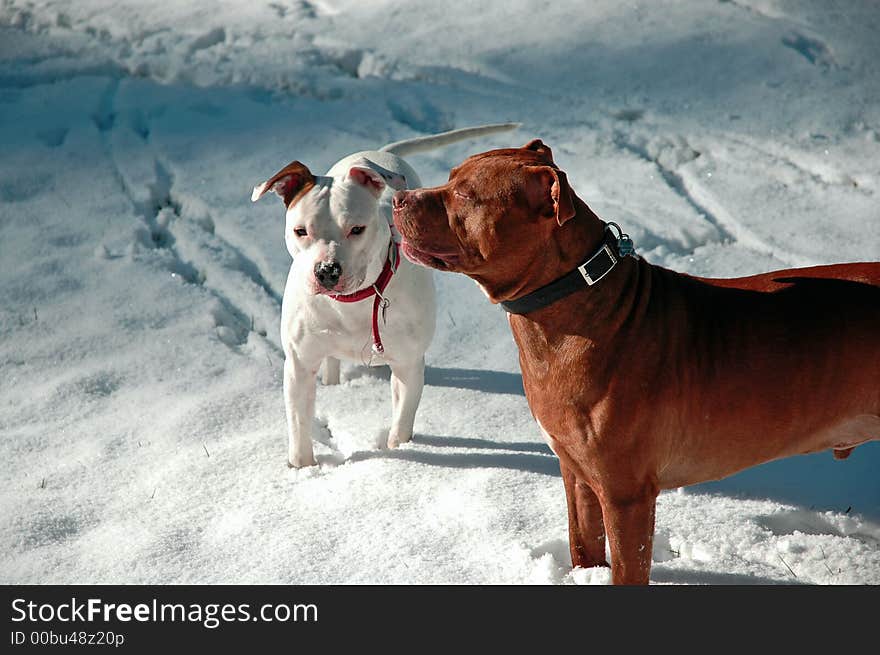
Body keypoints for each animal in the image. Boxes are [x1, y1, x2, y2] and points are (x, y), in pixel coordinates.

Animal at [251, 123, 520, 468]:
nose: (327, 271)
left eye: (357, 229)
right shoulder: (299, 363)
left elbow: (403, 416)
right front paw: (302, 467)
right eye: (301, 231)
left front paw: (399, 454)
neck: (354, 301)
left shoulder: (408, 363)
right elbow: (299, 422)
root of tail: (380, 153)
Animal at [392, 138, 880, 584]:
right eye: (450, 177)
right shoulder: (577, 475)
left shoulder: (625, 495)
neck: (575, 300)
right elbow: (583, 545)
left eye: (466, 195)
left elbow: (627, 567)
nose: (396, 198)